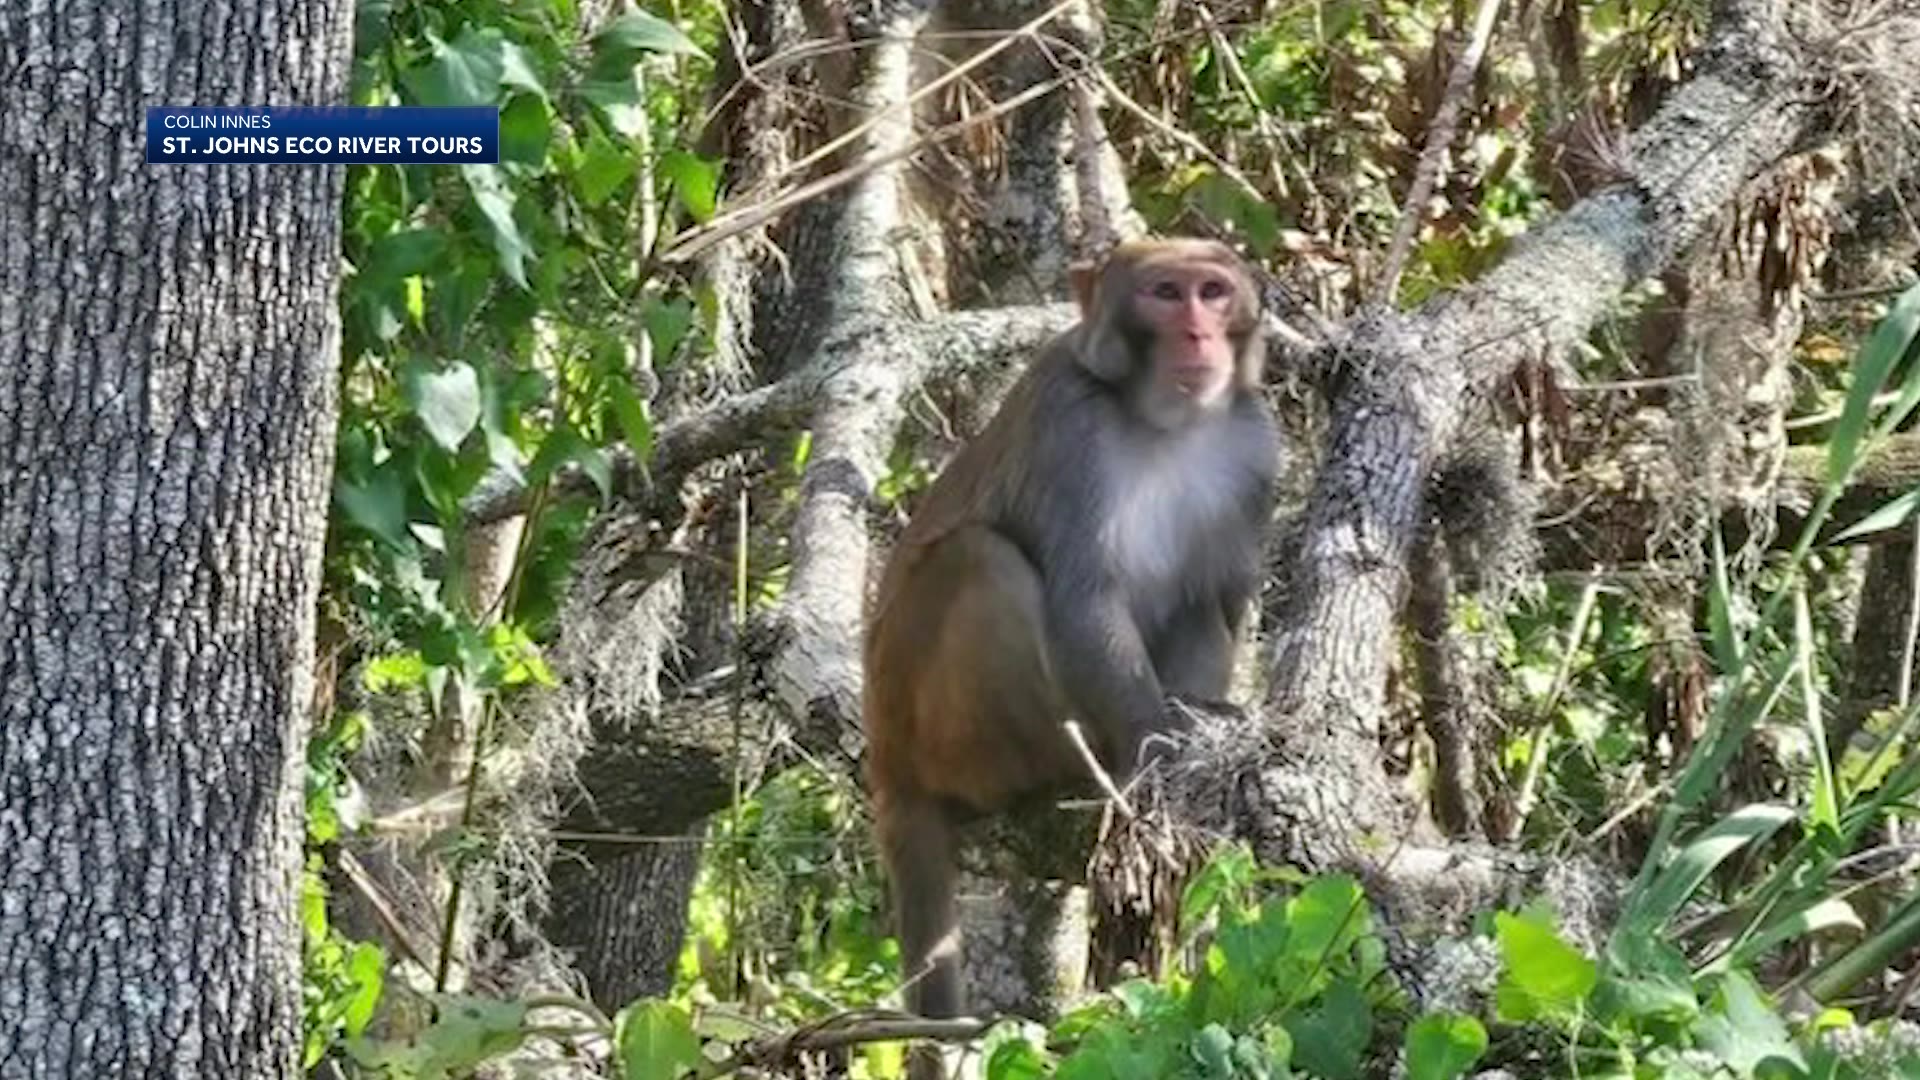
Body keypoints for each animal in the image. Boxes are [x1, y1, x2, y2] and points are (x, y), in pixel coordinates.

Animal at [861, 237, 1279, 1043]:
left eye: (1212, 292)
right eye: (1165, 294)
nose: (1197, 334)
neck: (1162, 422)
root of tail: (887, 757)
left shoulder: (1253, 443)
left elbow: (1222, 601)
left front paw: (1200, 721)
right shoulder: (1068, 422)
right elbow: (1084, 599)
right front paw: (1151, 750)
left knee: (1194, 600)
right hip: (937, 730)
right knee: (982, 560)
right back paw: (1069, 769)